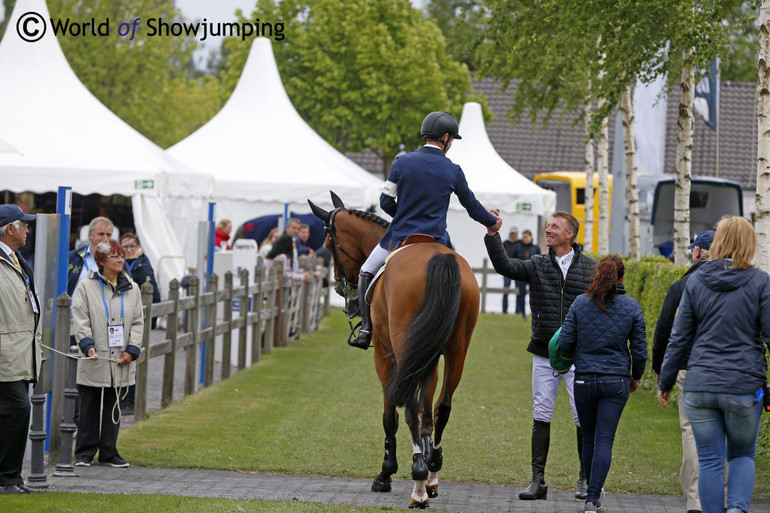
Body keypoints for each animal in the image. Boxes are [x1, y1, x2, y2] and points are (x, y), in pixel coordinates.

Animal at [308, 192, 480, 508]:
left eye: (328, 243)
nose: (339, 287)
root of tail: (439, 258)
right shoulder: (429, 358)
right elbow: (427, 411)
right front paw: (427, 460)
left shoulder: (385, 356)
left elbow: (391, 414)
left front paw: (387, 473)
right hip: (456, 351)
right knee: (443, 406)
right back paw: (431, 471)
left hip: (403, 352)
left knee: (409, 407)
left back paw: (418, 486)